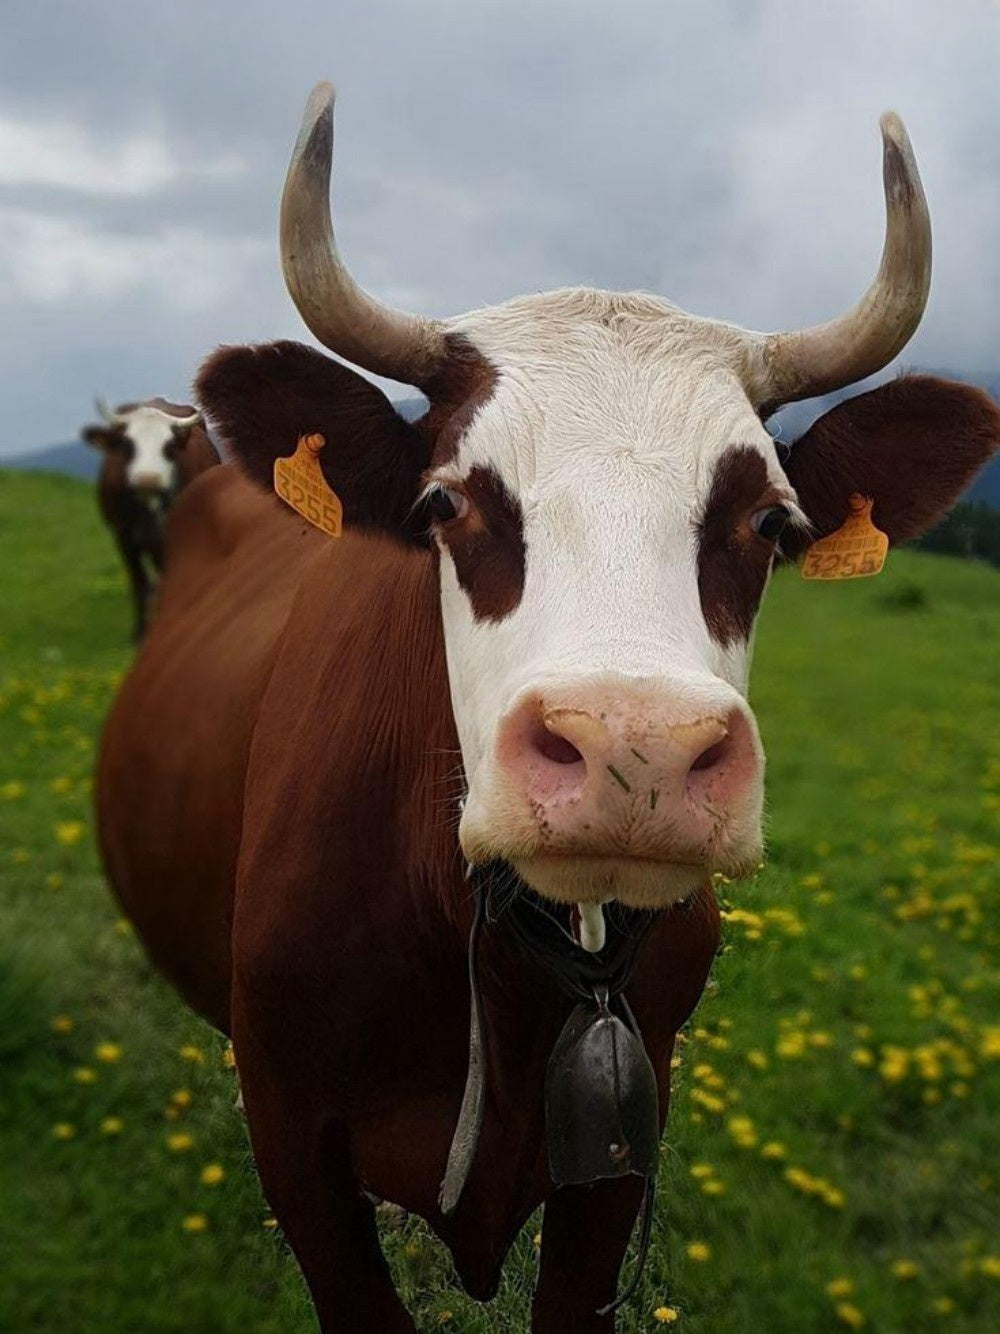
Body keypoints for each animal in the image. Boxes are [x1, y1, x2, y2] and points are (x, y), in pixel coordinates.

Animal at [82, 397, 219, 639]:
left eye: (169, 447)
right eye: (128, 445)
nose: (148, 480)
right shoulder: (124, 537)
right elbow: (139, 582)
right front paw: (140, 631)